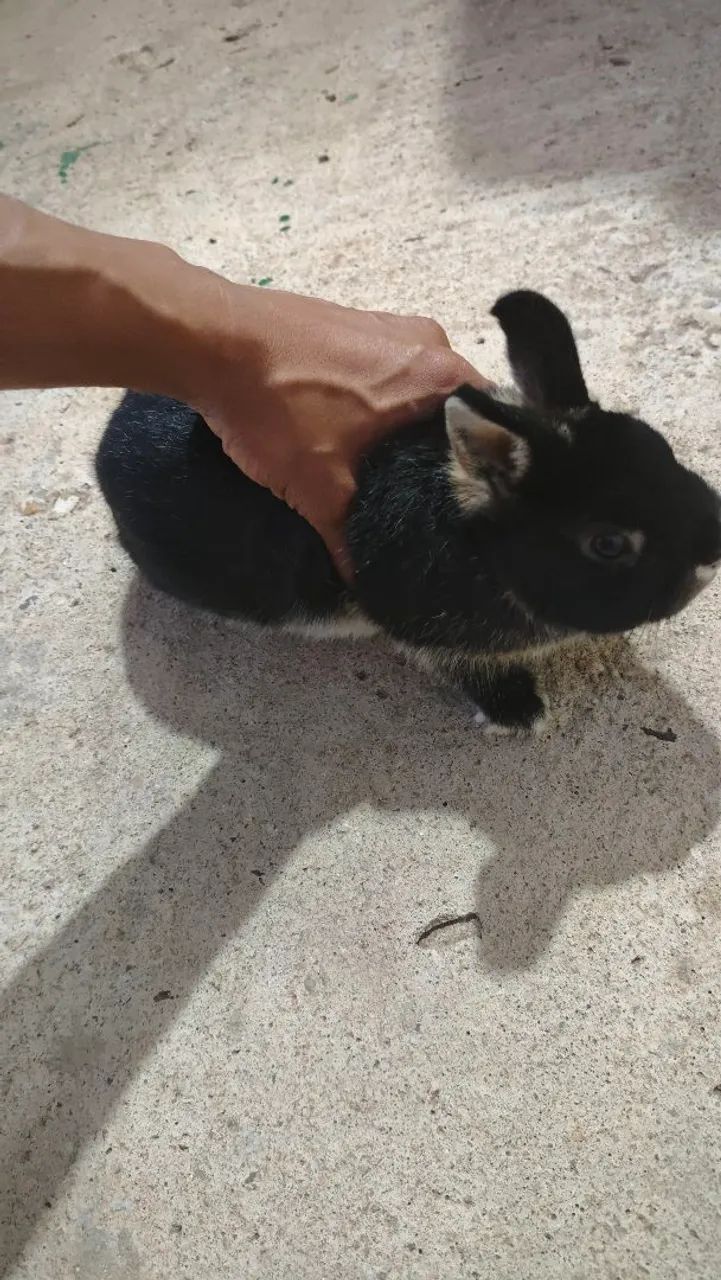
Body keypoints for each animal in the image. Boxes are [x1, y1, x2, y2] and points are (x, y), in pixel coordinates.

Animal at [95, 290, 721, 731]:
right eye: (607, 543)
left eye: (662, 450)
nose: (712, 552)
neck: (480, 545)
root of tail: (104, 447)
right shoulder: (426, 633)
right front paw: (521, 714)